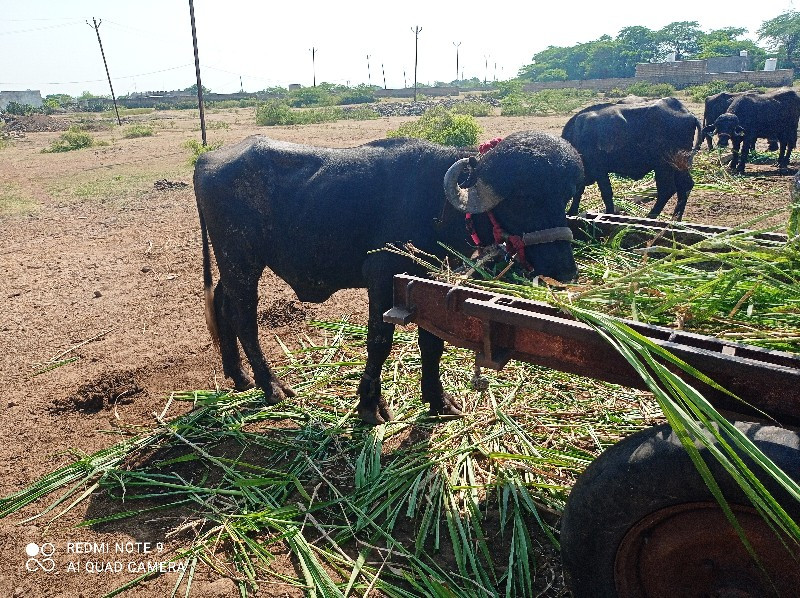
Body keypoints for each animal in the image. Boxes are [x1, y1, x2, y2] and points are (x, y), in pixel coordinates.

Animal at [194, 134, 580, 428]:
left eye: (564, 197)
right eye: (524, 199)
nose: (564, 269)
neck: (434, 203)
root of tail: (207, 159)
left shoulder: (426, 284)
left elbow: (432, 344)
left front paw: (439, 401)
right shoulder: (381, 278)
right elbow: (379, 343)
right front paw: (369, 406)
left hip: (234, 267)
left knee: (224, 305)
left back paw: (239, 376)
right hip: (241, 261)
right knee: (244, 317)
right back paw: (271, 385)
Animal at [564, 97, 700, 221]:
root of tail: (689, 114)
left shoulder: (600, 171)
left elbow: (606, 194)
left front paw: (609, 215)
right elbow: (579, 191)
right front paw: (571, 212)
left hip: (664, 166)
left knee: (667, 190)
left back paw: (651, 216)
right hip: (679, 166)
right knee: (685, 185)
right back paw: (675, 219)